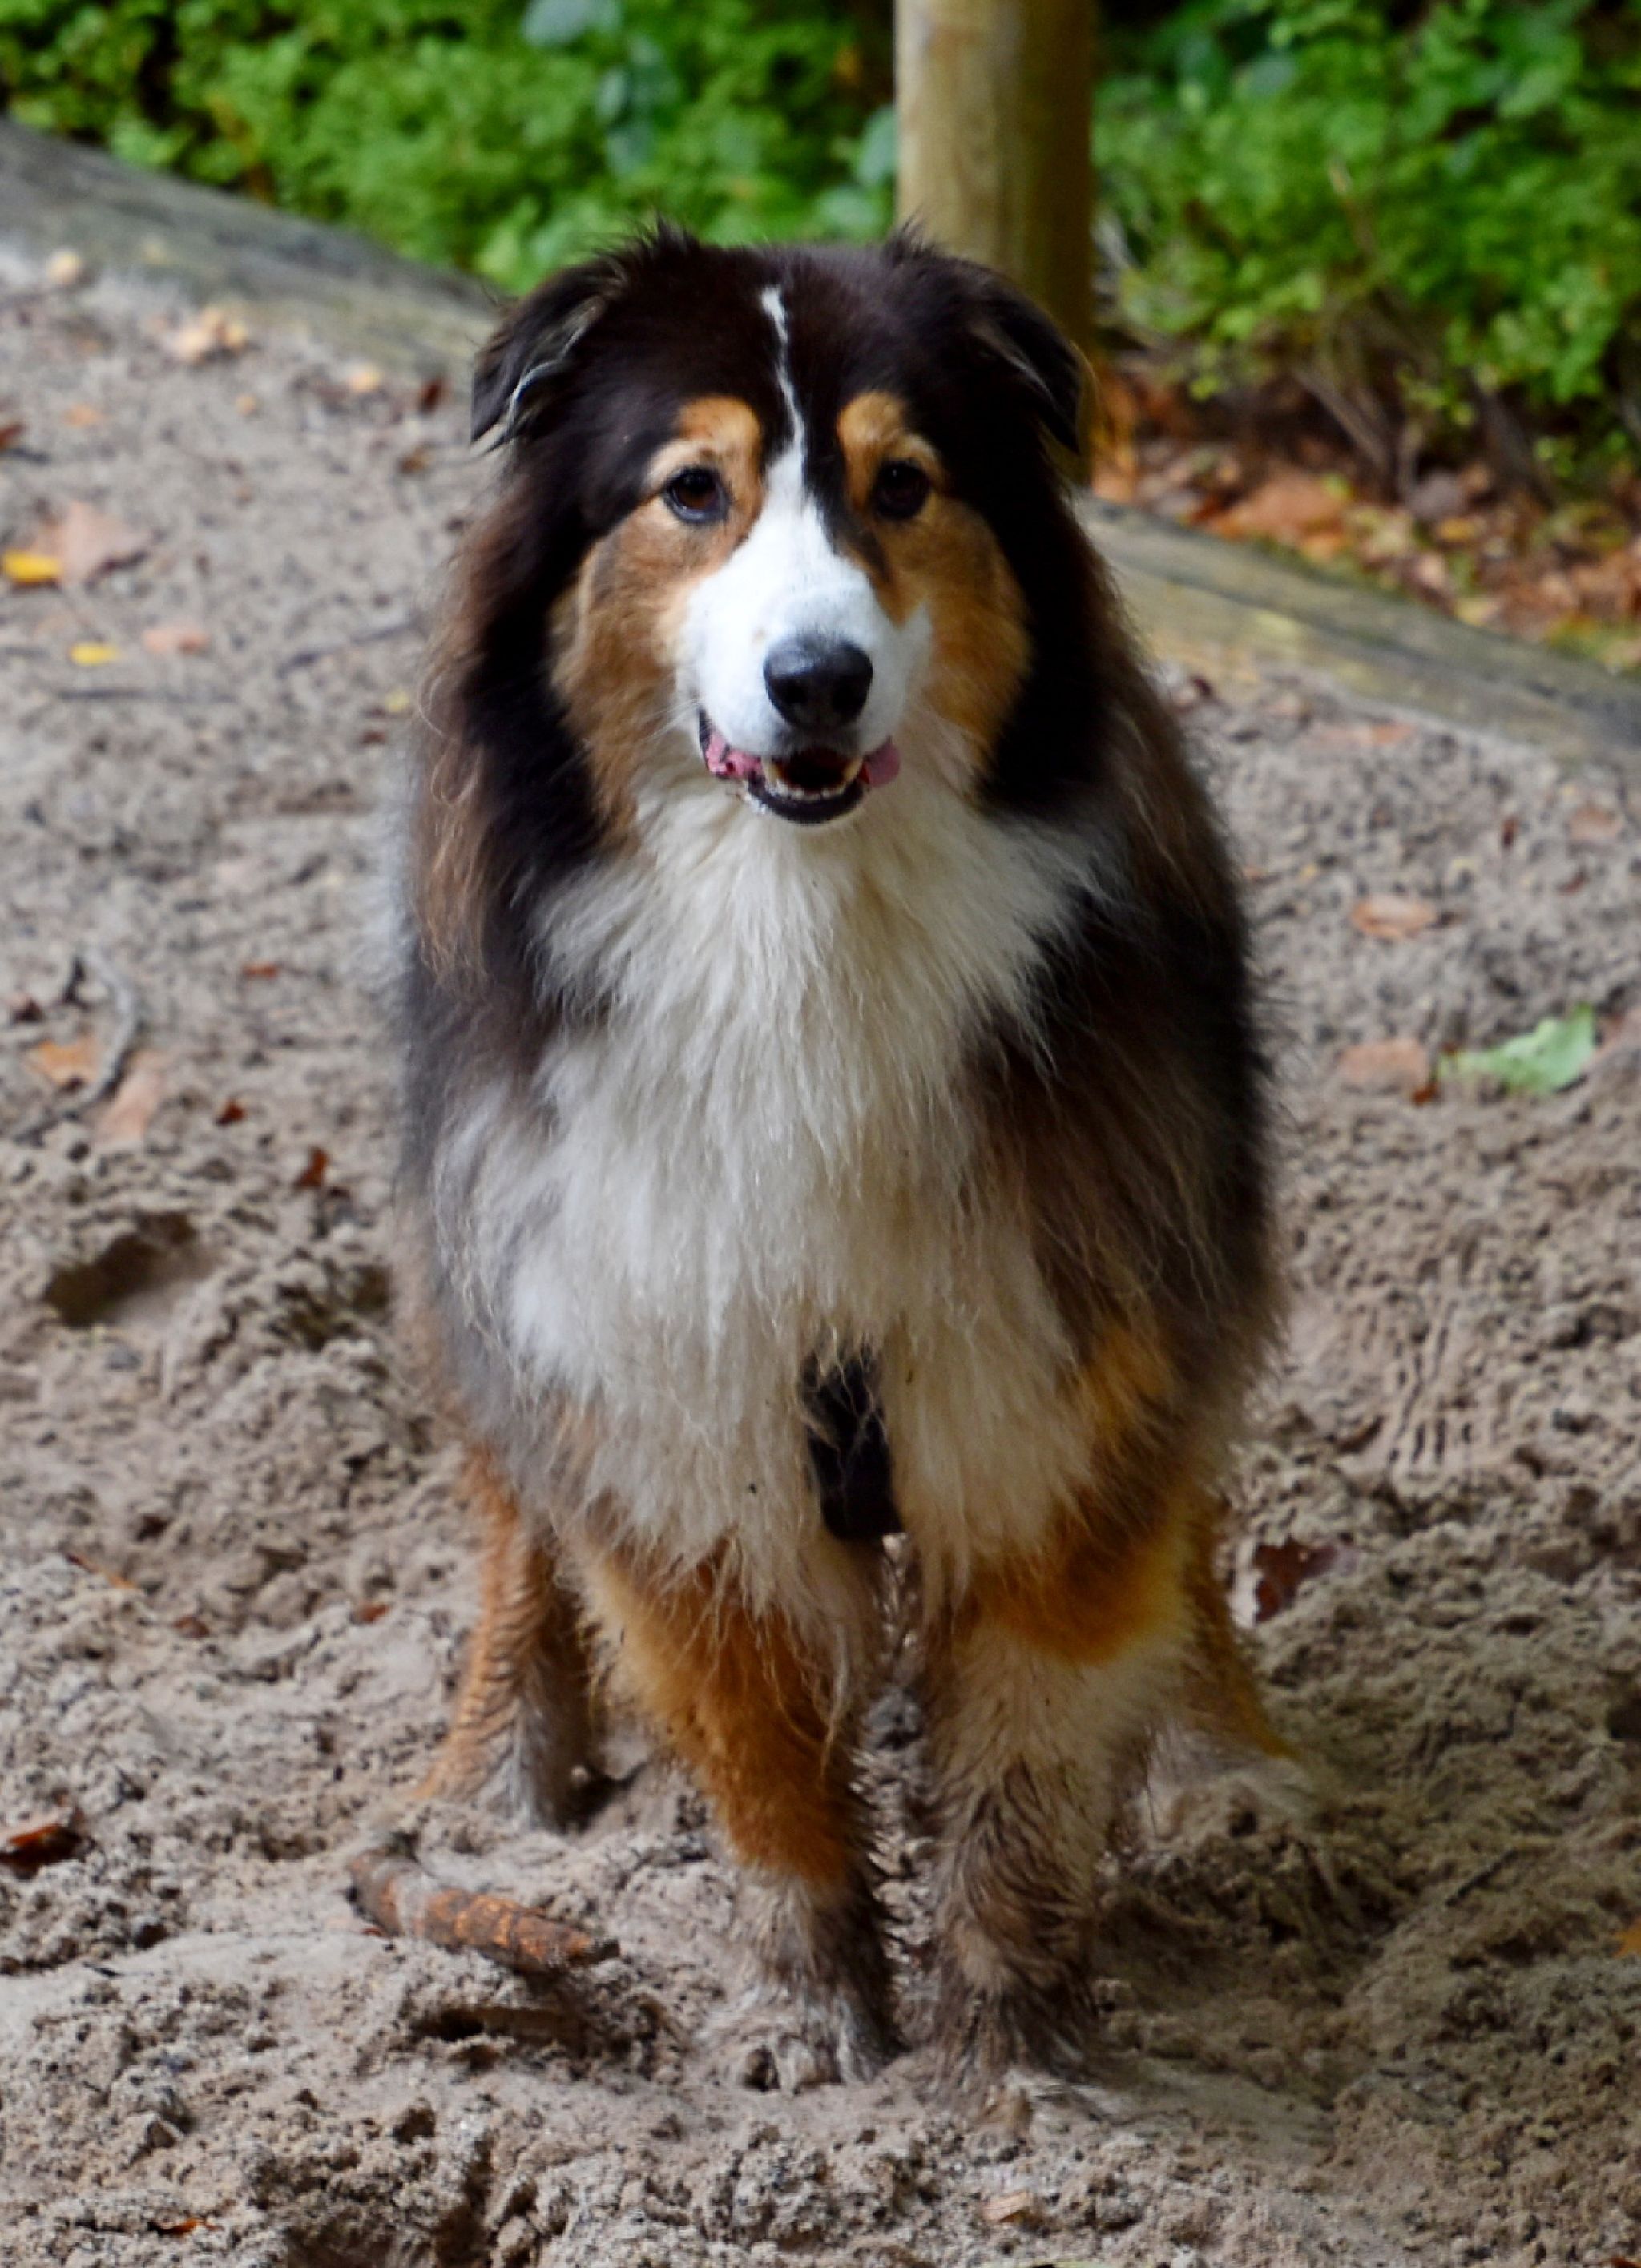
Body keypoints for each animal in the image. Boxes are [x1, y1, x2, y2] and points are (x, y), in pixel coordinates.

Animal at [385, 225, 1290, 2092]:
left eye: (903, 486)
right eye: (691, 491)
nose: (817, 679)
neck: (799, 930)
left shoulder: (1052, 1347)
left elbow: (1025, 1733)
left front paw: (1004, 2040)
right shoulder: (656, 1360)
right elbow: (747, 1724)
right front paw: (812, 2008)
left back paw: (1225, 1768)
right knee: (516, 1514)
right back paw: (493, 1778)